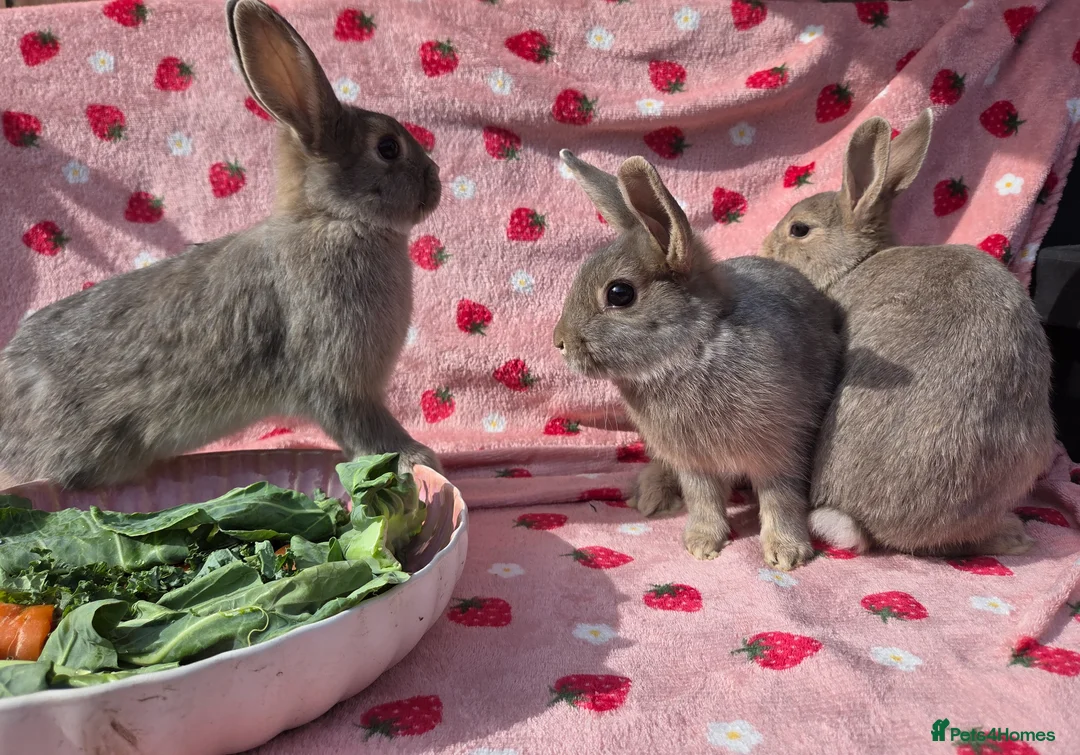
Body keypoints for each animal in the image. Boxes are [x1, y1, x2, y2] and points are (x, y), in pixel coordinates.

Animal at [0, 0, 442, 491]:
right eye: (388, 148)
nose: (437, 181)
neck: (333, 219)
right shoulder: (338, 378)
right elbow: (366, 429)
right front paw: (416, 458)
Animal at [554, 151, 843, 569]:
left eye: (620, 293)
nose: (558, 342)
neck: (692, 350)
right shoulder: (693, 462)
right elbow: (703, 499)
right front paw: (702, 543)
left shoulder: (780, 449)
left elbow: (781, 498)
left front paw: (786, 553)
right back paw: (650, 496)